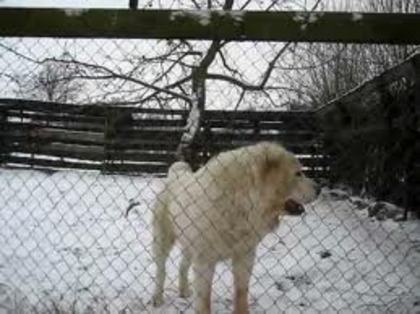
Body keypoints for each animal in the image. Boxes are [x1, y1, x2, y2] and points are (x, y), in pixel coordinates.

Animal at [151, 143, 318, 314]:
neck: (240, 203)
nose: (318, 189)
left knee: (182, 266)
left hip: (189, 246)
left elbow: (241, 292)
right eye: (298, 173)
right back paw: (157, 298)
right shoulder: (205, 261)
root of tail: (177, 175)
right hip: (163, 241)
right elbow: (204, 300)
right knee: (161, 270)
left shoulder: (245, 256)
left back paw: (184, 291)